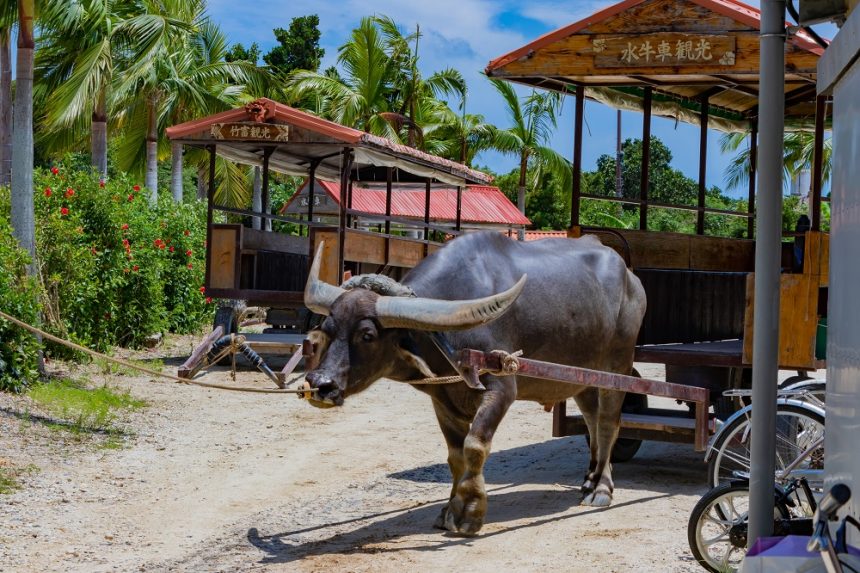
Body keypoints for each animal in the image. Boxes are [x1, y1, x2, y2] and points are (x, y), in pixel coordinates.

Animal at [302, 230, 644, 536]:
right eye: (328, 328)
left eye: (367, 335)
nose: (319, 384)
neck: (445, 339)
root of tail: (632, 280)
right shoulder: (442, 398)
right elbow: (455, 455)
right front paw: (448, 510)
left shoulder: (502, 388)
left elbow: (475, 446)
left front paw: (470, 511)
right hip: (582, 376)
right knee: (591, 418)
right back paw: (589, 480)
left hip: (617, 365)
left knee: (608, 422)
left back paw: (601, 489)